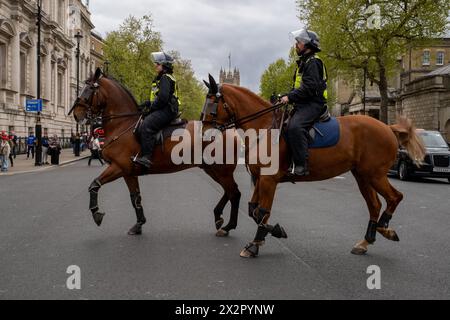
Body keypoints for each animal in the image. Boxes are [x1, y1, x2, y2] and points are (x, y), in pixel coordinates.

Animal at [69, 69, 243, 236]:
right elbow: (135, 198)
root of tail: (228, 128)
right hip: (212, 169)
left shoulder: (118, 167)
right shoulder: (128, 172)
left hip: (221, 170)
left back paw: (228, 226)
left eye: (90, 89)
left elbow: (94, 184)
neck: (123, 124)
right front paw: (138, 224)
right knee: (229, 191)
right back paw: (219, 217)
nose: (76, 114)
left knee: (234, 193)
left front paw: (96, 214)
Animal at [202, 75, 424, 258]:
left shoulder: (269, 180)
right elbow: (253, 210)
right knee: (375, 205)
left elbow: (262, 211)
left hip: (375, 175)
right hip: (362, 176)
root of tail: (387, 127)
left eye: (212, 105)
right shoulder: (260, 179)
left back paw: (384, 228)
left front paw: (256, 243)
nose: (204, 135)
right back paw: (367, 240)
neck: (265, 127)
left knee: (395, 197)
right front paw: (271, 233)